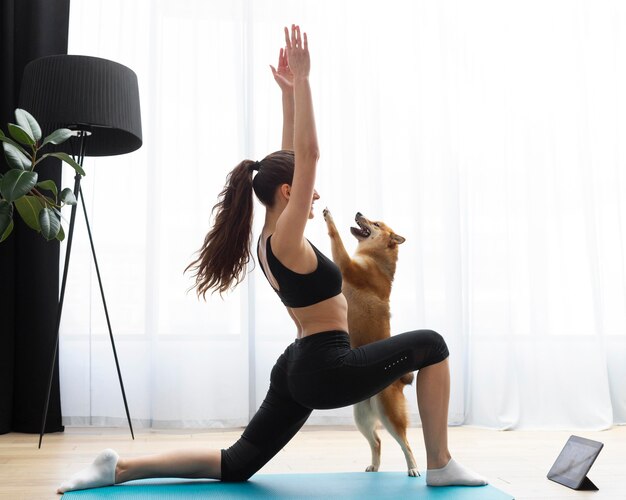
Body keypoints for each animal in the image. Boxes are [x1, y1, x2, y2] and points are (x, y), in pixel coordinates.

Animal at [322, 207, 420, 476]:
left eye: (376, 224)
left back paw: (413, 469)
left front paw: (329, 218)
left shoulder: (347, 266)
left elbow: (335, 237)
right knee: (376, 441)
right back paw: (374, 466)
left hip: (389, 415)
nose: (358, 212)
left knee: (406, 443)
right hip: (362, 418)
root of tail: (398, 382)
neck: (375, 259)